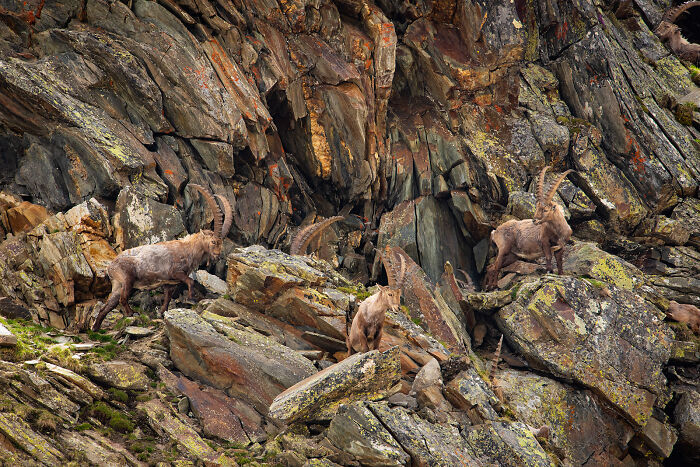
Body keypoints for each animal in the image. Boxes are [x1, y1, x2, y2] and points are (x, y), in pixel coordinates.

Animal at [91, 185, 232, 331]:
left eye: (221, 243)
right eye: (213, 242)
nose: (217, 256)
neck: (188, 249)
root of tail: (110, 267)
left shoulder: (169, 283)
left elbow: (168, 297)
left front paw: (162, 312)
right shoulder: (175, 272)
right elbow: (191, 281)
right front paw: (191, 299)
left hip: (117, 285)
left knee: (107, 306)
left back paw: (96, 328)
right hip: (127, 280)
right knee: (123, 299)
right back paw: (131, 313)